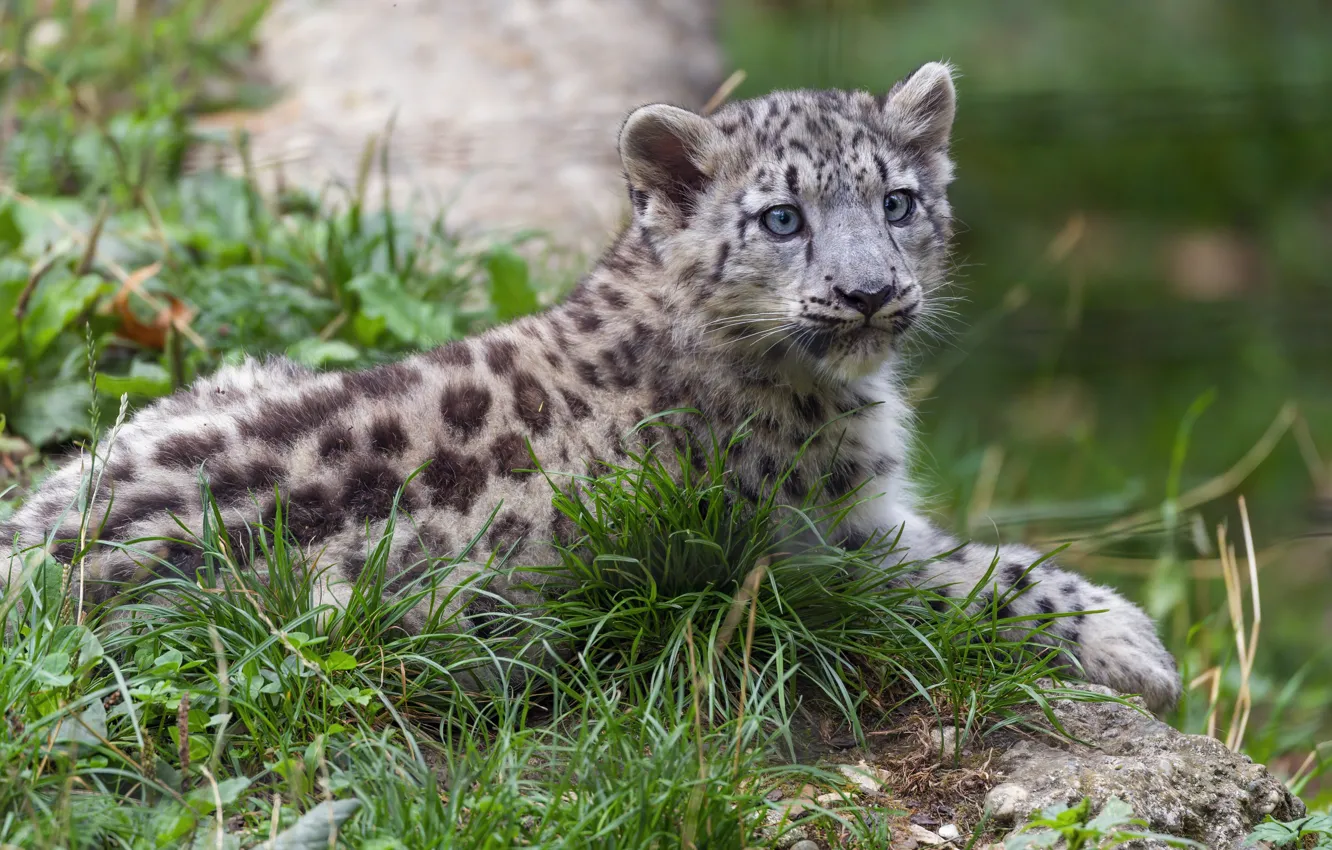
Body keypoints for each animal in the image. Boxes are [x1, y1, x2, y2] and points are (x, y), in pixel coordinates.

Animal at [1, 62, 1181, 713]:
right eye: (781, 217)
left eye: (897, 201)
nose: (868, 292)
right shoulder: (821, 550)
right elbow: (982, 576)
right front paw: (1135, 641)